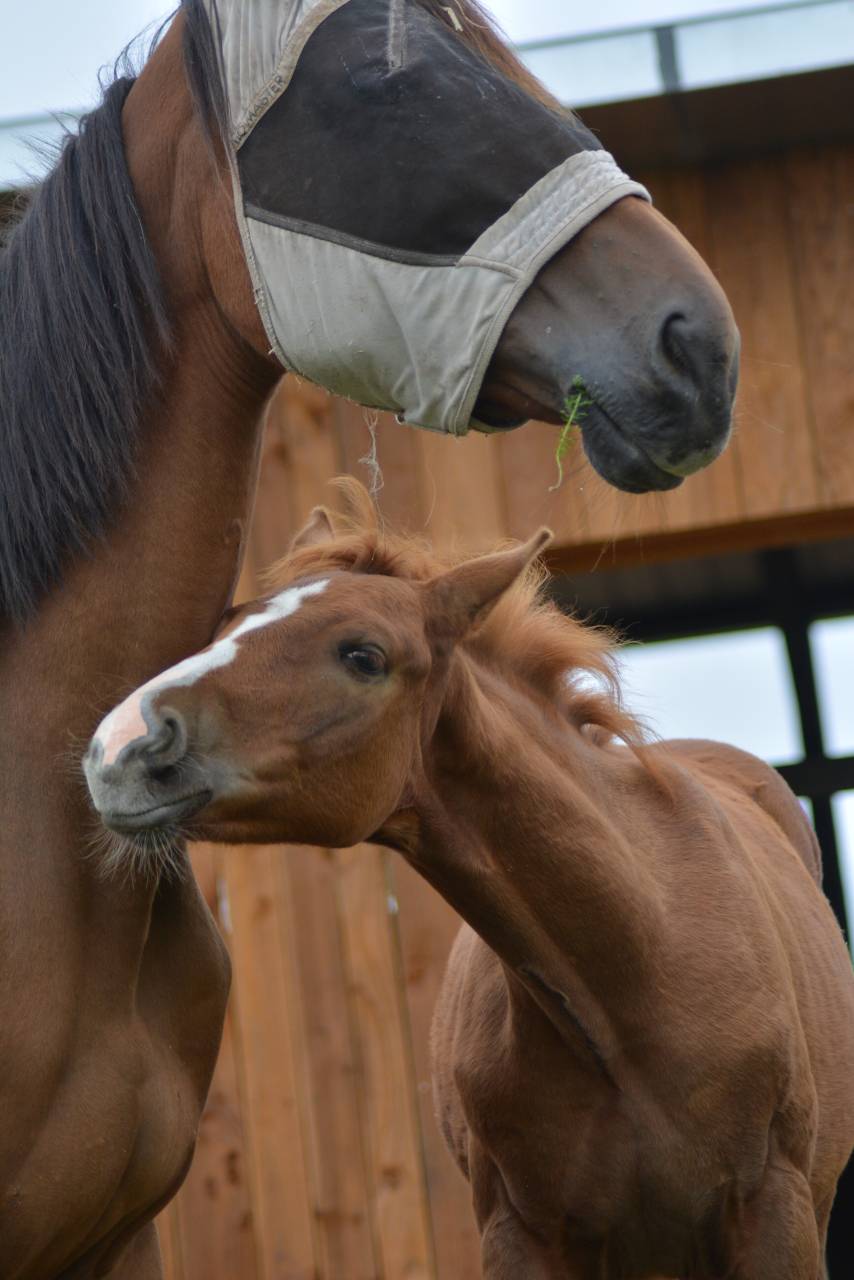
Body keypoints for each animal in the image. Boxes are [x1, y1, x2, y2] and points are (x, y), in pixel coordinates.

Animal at [85, 481, 854, 1280]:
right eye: (228, 624)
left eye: (364, 654)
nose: (120, 746)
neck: (638, 974)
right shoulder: (519, 1233)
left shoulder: (777, 1213)